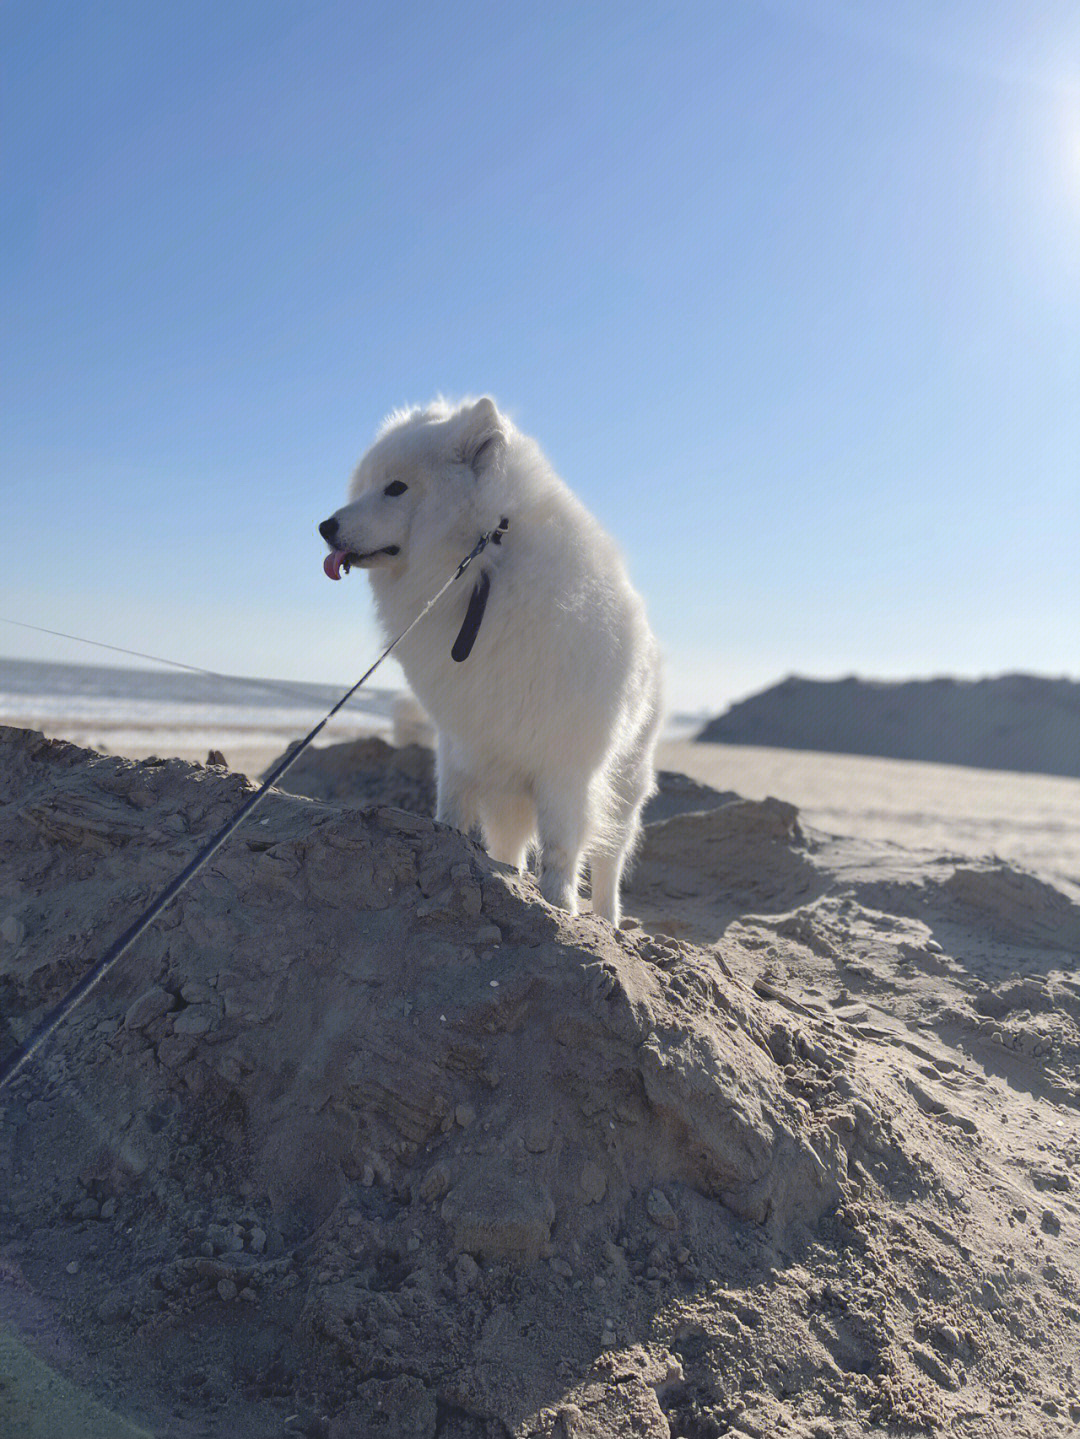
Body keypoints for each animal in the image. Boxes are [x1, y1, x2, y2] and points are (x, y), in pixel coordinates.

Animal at [316, 400, 664, 926]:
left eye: (395, 487)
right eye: (363, 487)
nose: (325, 527)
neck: (480, 569)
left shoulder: (564, 766)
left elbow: (561, 850)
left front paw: (560, 908)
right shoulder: (461, 741)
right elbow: (452, 811)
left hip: (624, 783)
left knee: (609, 863)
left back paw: (607, 920)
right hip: (508, 787)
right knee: (510, 843)